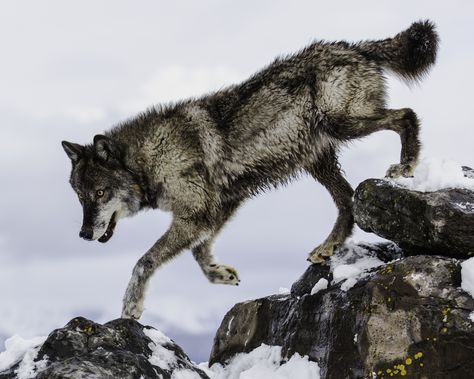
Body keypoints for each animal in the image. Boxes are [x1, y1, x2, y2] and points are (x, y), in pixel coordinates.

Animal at [62, 20, 436, 318]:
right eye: (80, 197)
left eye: (100, 192)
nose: (83, 234)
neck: (150, 159)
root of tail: (354, 47)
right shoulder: (220, 207)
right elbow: (199, 251)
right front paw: (219, 274)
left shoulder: (197, 215)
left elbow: (145, 261)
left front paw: (131, 306)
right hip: (319, 159)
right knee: (347, 201)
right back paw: (327, 246)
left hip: (343, 125)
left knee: (406, 115)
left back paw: (406, 165)